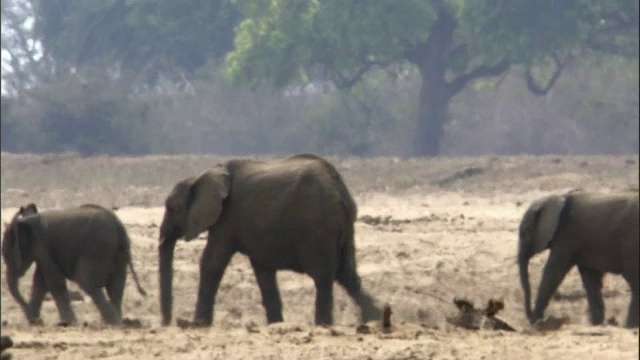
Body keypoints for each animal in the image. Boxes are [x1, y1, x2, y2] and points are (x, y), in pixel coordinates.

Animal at [1, 204, 146, 324]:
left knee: (86, 281)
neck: (28, 220)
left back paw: (112, 321)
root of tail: (119, 227)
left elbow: (53, 282)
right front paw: (34, 320)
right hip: (118, 254)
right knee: (116, 287)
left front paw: (68, 322)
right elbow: (40, 283)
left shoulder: (42, 245)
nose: (39, 320)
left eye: (7, 254)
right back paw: (116, 321)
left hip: (96, 251)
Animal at [159, 152, 380, 326]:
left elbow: (212, 263)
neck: (200, 177)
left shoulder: (226, 219)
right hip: (342, 227)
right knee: (347, 276)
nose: (168, 324)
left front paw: (198, 325)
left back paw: (323, 325)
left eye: (171, 207)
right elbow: (263, 272)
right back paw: (374, 320)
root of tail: (339, 189)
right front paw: (275, 324)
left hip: (319, 227)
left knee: (324, 277)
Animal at [516, 191, 636, 330]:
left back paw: (630, 326)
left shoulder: (566, 237)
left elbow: (552, 273)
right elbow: (590, 280)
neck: (555, 197)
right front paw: (597, 324)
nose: (531, 318)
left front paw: (537, 322)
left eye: (525, 232)